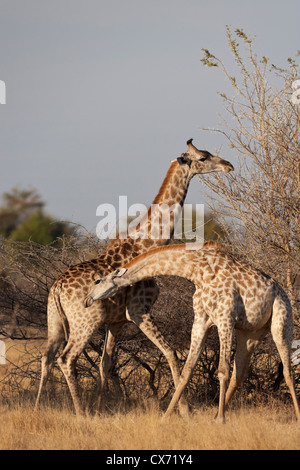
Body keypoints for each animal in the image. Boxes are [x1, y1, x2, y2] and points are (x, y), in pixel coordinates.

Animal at [34, 140, 232, 414]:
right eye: (203, 157)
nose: (228, 165)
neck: (147, 244)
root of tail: (58, 287)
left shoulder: (116, 321)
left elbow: (105, 363)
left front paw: (101, 408)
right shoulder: (139, 310)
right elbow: (171, 352)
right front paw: (185, 411)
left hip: (54, 319)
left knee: (47, 357)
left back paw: (38, 407)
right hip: (86, 321)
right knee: (66, 358)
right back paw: (81, 412)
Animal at [85, 242, 300, 422]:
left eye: (97, 281)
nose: (88, 300)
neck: (198, 271)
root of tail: (281, 291)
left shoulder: (225, 318)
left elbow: (222, 370)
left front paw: (221, 420)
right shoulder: (201, 319)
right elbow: (187, 370)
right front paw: (166, 417)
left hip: (282, 321)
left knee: (287, 371)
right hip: (250, 333)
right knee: (240, 373)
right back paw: (217, 413)